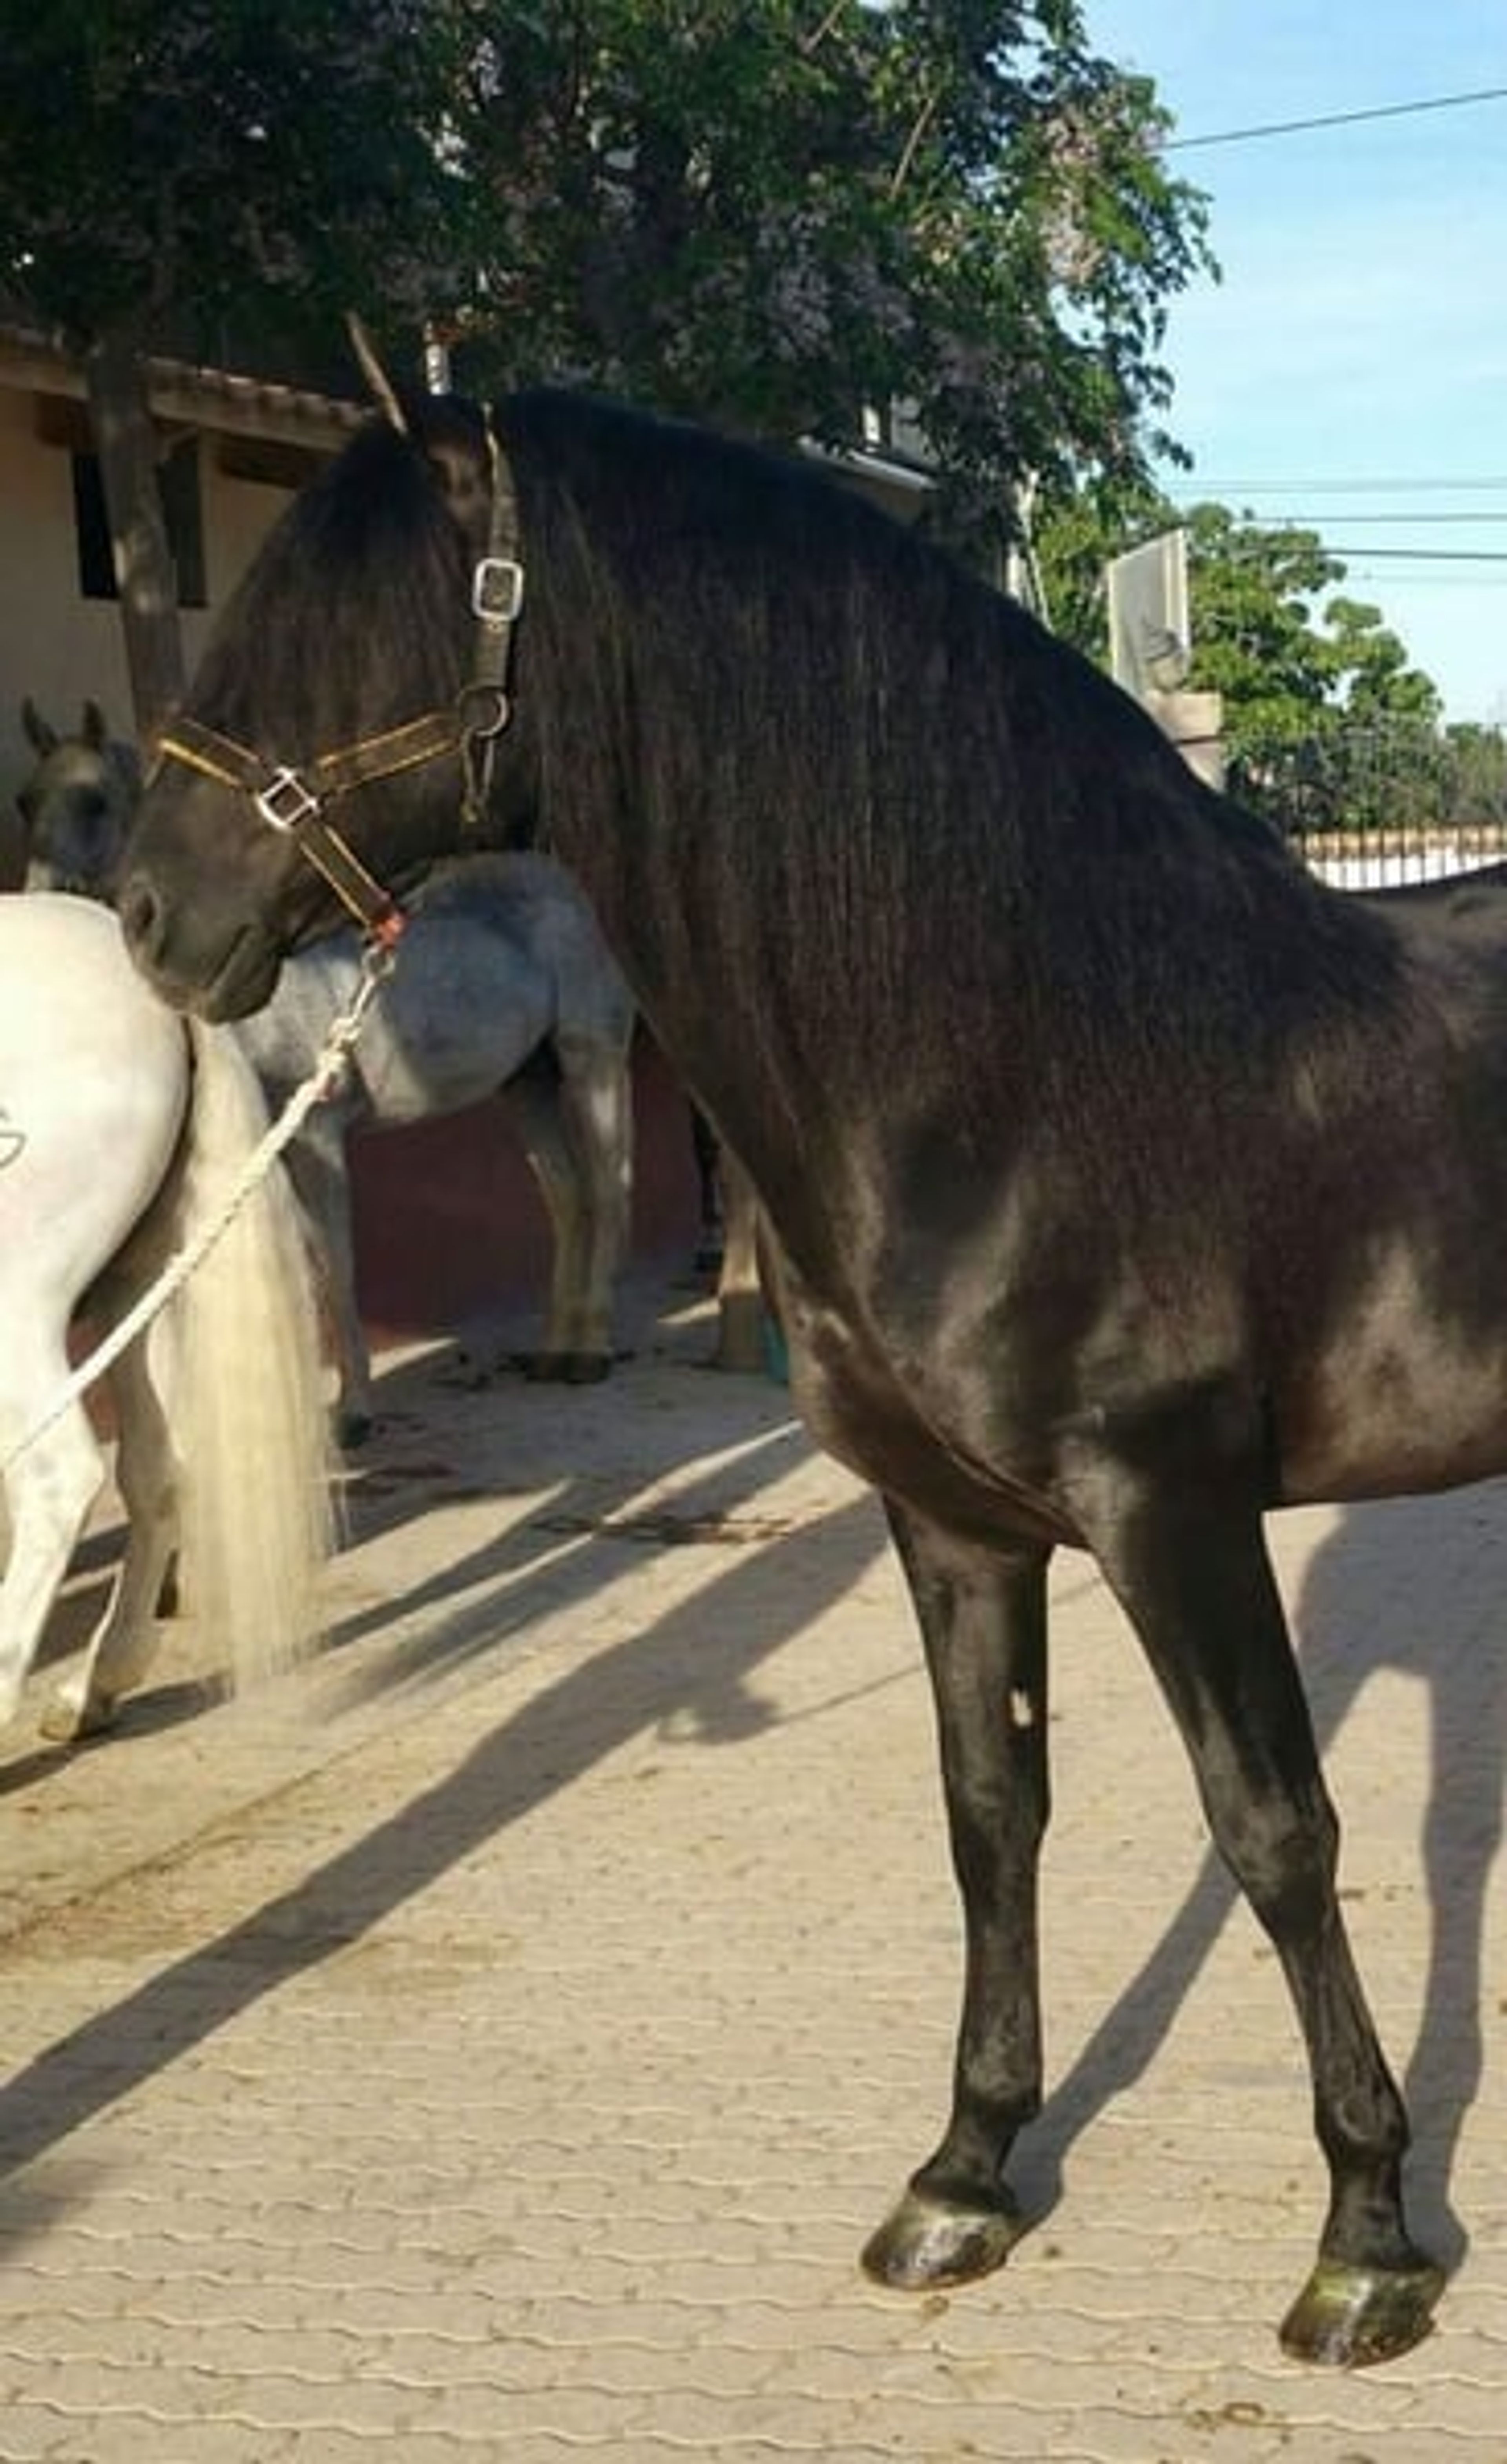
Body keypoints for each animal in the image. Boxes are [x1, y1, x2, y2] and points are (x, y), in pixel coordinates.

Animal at [17, 705, 638, 1444]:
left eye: (94, 800)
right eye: (25, 800)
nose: (36, 897)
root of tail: (557, 878)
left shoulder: (316, 1135)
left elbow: (333, 1267)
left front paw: (353, 1413)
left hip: (590, 1060)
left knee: (605, 1188)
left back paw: (591, 1351)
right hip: (526, 1083)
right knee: (566, 1196)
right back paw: (555, 1347)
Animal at [109, 386, 1484, 2369]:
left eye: (342, 624)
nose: (148, 913)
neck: (1039, 1062)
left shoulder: (1179, 1513)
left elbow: (1276, 1833)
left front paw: (1368, 2236)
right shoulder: (953, 1525)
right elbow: (991, 1820)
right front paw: (966, 2174)